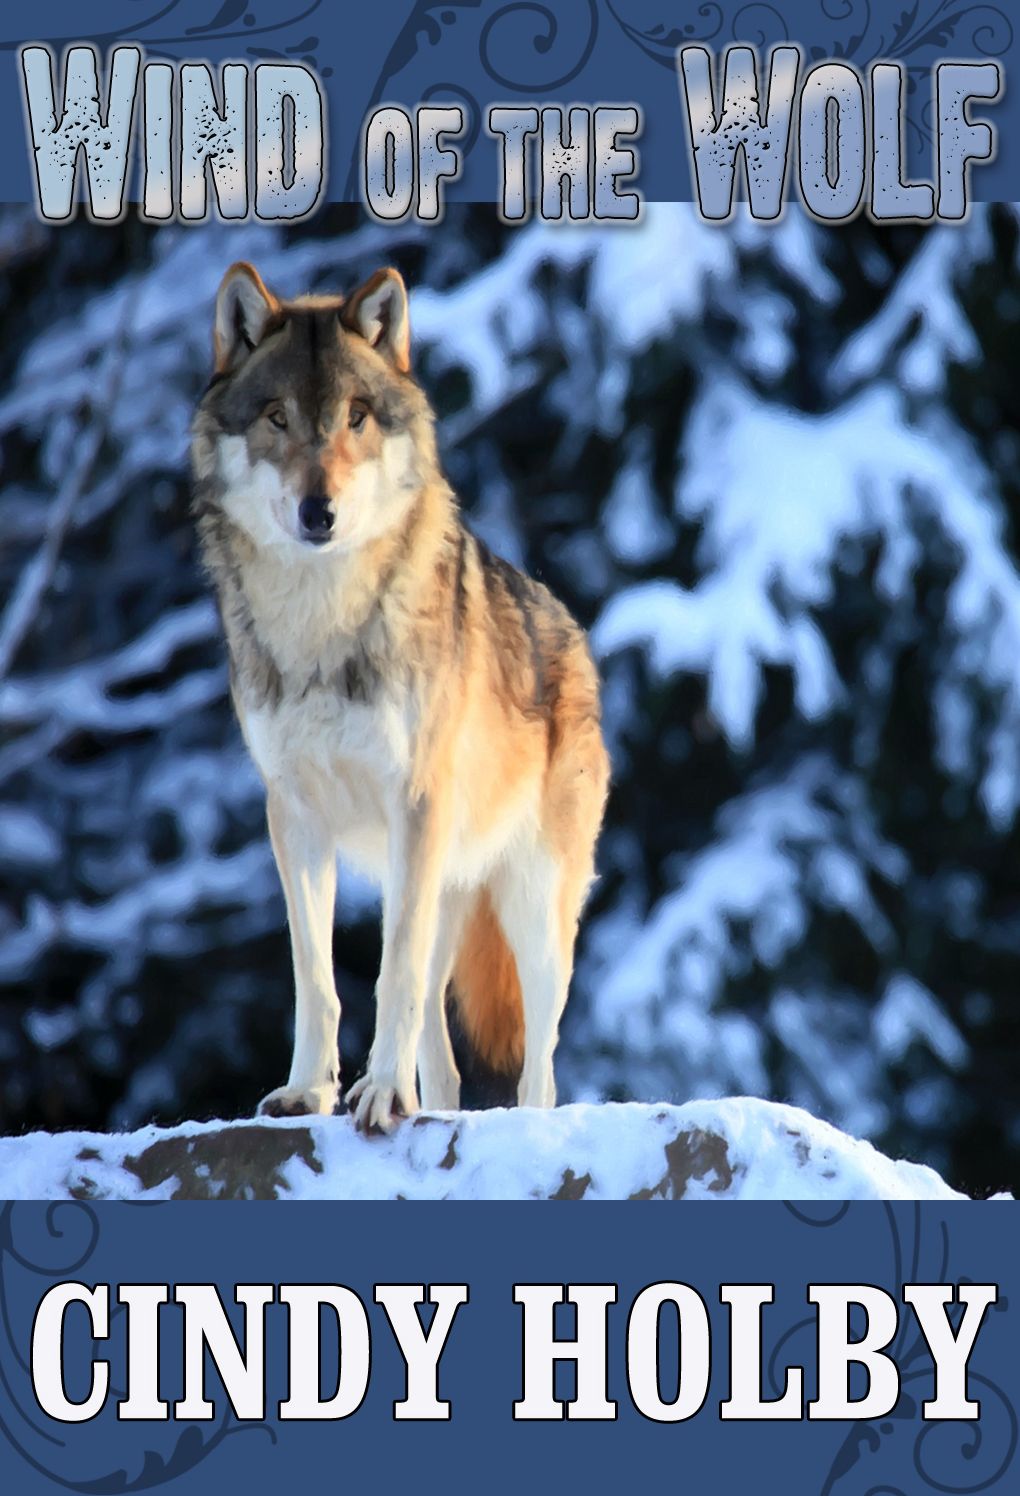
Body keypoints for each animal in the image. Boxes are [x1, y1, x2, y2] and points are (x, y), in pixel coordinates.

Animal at [191, 262, 609, 1131]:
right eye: (278, 418)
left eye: (356, 417)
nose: (320, 511)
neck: (321, 625)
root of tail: (570, 627)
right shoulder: (293, 815)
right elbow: (316, 978)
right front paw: (309, 1091)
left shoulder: (413, 803)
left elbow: (393, 978)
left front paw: (378, 1094)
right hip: (438, 887)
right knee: (444, 1064)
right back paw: (430, 1109)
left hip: (533, 907)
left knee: (541, 1061)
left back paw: (520, 1124)